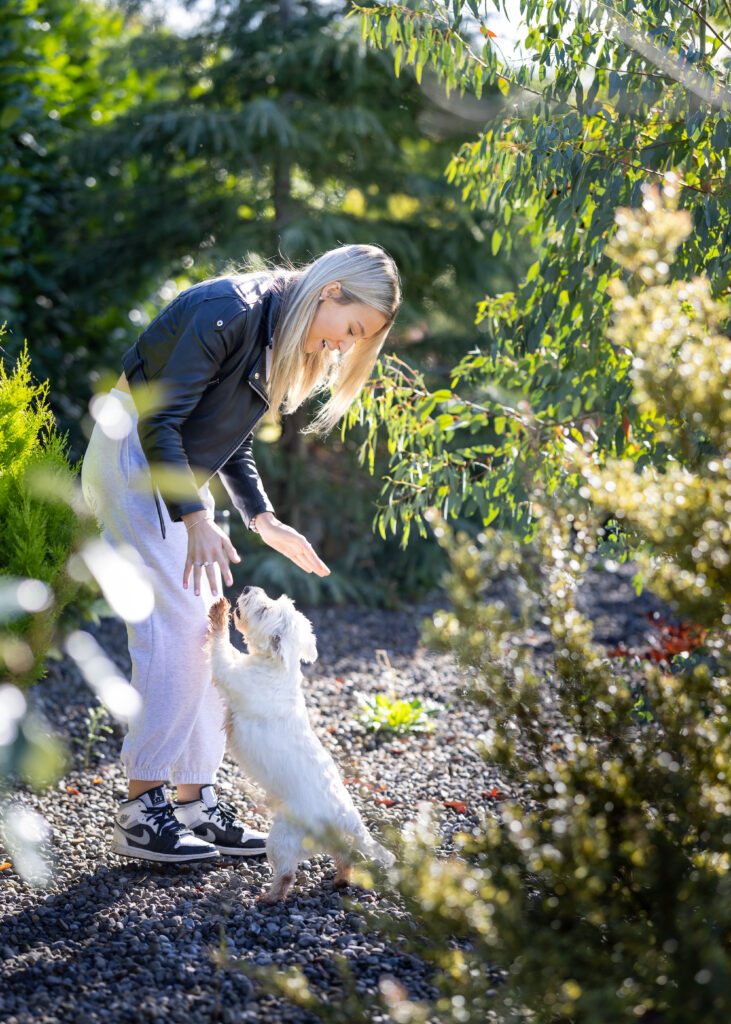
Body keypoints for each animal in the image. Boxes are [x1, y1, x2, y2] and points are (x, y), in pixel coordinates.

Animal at [204, 585, 395, 905]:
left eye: (264, 609)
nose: (248, 588)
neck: (276, 668)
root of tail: (348, 819)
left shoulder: (228, 674)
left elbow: (220, 648)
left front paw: (219, 612)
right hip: (324, 841)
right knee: (345, 858)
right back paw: (341, 880)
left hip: (281, 839)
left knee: (286, 875)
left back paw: (269, 897)